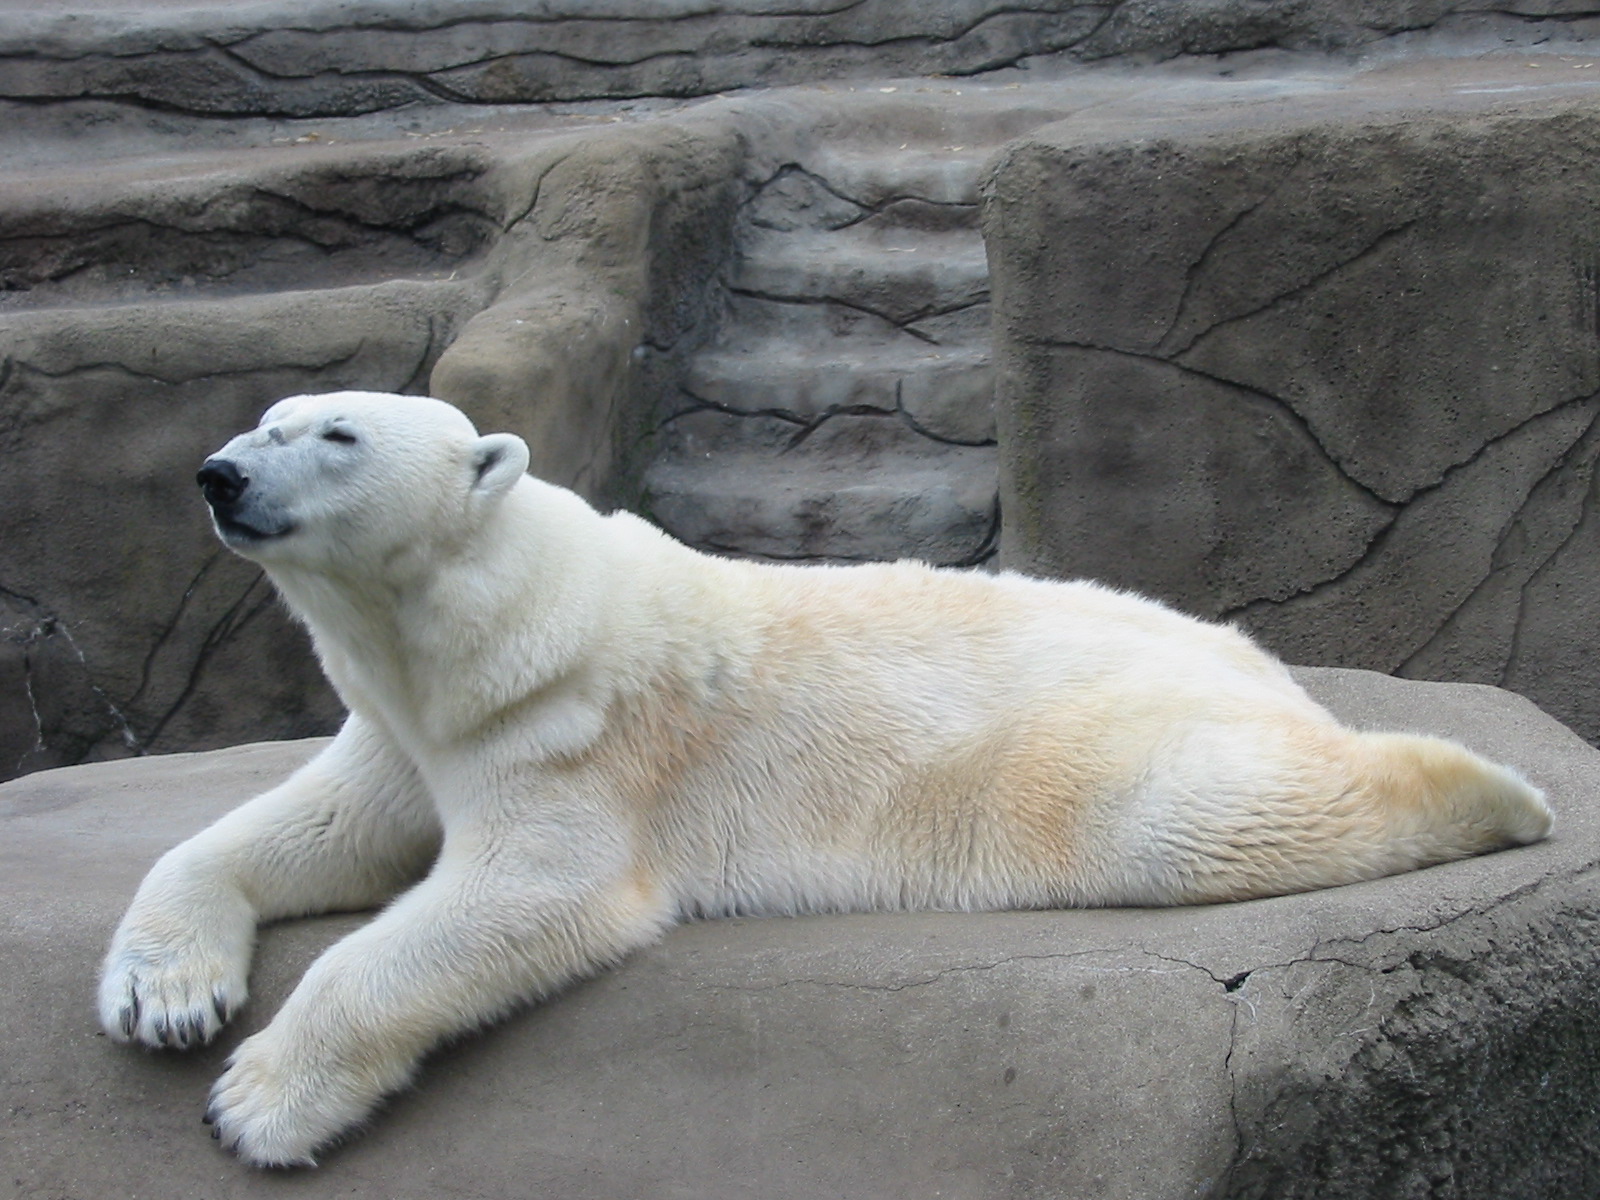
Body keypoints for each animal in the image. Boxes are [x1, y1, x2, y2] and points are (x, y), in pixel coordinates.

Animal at [98, 390, 1552, 1167]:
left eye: (336, 434)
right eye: (268, 420)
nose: (218, 473)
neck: (482, 622)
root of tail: (1255, 661)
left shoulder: (569, 729)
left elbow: (524, 895)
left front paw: (257, 1102)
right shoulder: (416, 728)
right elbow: (307, 827)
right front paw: (161, 995)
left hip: (1078, 749)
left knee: (1187, 816)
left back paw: (1505, 792)